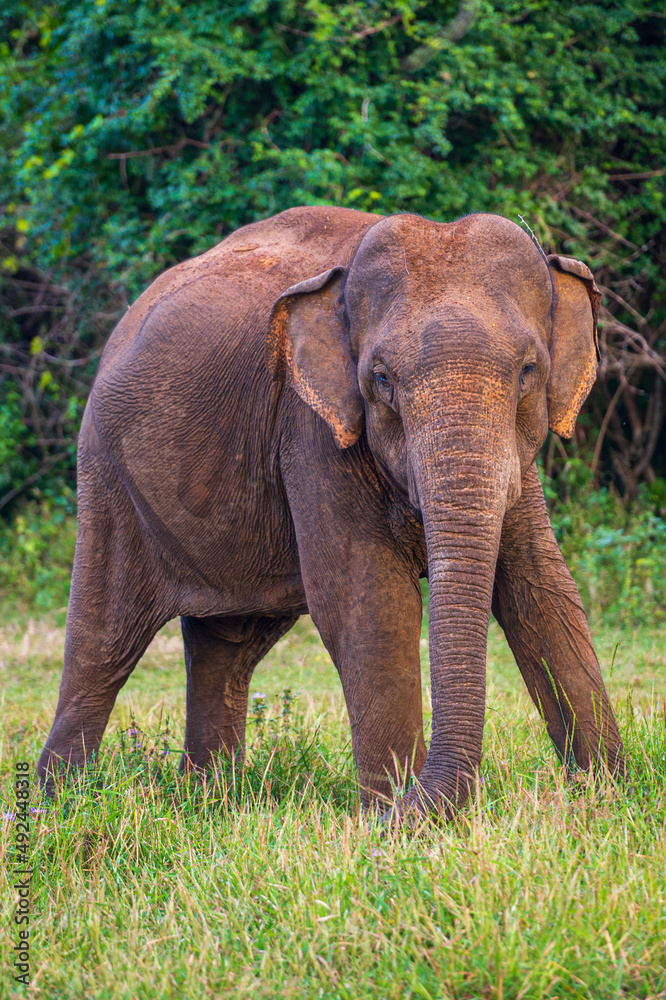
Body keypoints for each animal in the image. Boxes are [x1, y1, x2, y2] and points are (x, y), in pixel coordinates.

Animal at [38, 206, 624, 817]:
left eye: (529, 371)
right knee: (102, 646)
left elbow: (542, 590)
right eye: (382, 380)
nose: (412, 803)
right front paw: (392, 820)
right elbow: (368, 602)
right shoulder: (311, 428)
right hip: (106, 476)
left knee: (228, 645)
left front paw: (608, 796)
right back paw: (57, 807)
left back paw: (210, 803)